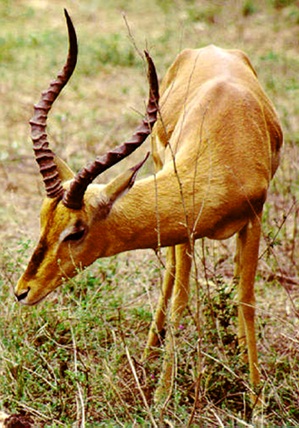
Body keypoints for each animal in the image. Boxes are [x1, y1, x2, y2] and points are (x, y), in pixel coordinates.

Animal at [15, 10, 284, 404]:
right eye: (42, 218)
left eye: (76, 231)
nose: (22, 291)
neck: (227, 144)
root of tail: (209, 48)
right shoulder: (187, 228)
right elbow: (179, 303)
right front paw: (160, 398)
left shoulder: (254, 219)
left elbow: (246, 300)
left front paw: (257, 400)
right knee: (170, 275)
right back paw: (147, 355)